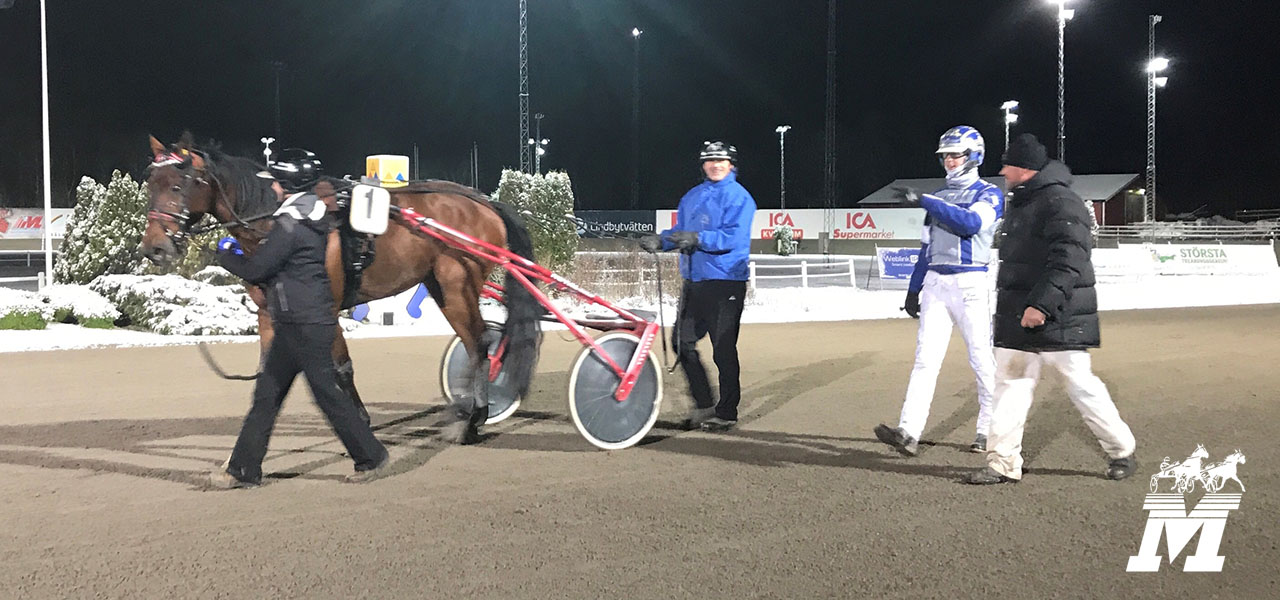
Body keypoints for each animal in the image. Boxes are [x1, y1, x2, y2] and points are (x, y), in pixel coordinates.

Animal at [138, 132, 540, 440]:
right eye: (149, 184)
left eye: (179, 184)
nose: (154, 247)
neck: (282, 216)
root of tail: (484, 201)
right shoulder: (268, 312)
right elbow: (269, 373)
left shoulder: (326, 306)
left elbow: (340, 368)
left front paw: (359, 421)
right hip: (440, 286)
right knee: (476, 344)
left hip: (457, 285)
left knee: (479, 345)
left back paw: (472, 418)